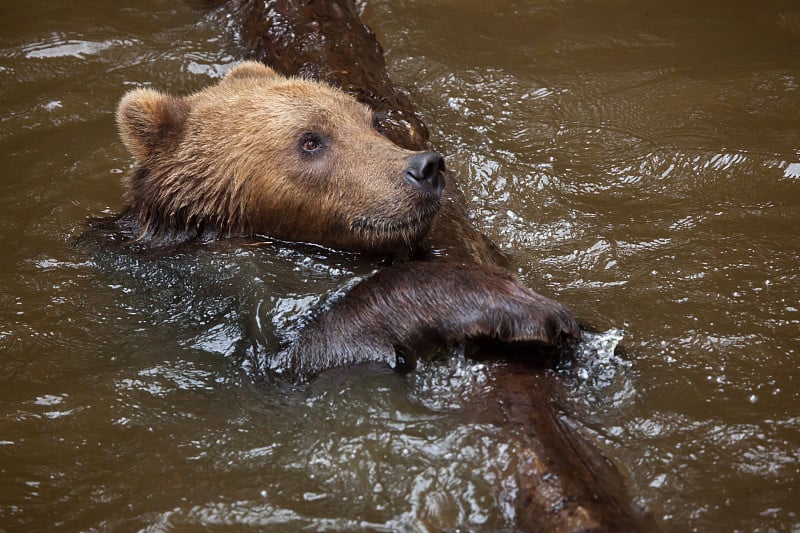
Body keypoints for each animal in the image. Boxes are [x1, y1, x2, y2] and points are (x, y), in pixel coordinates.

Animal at [112, 61, 580, 378]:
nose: (425, 168)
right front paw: (520, 303)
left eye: (370, 121)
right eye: (311, 140)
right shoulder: (216, 304)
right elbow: (305, 346)